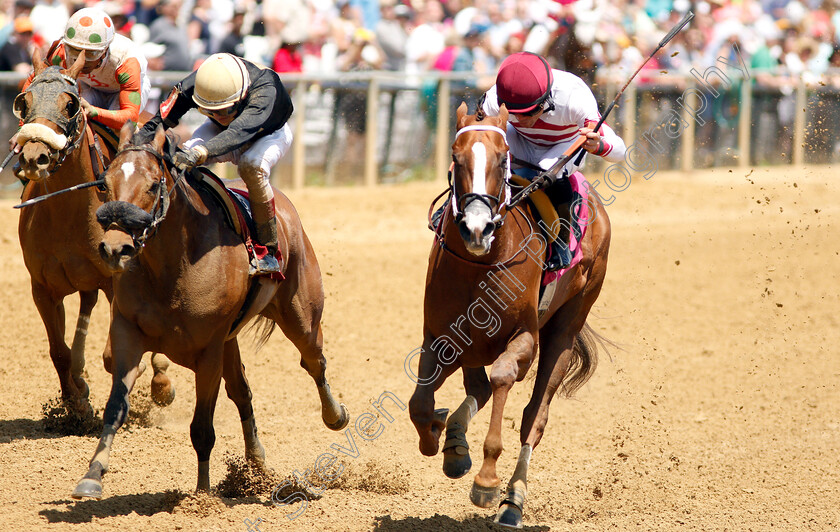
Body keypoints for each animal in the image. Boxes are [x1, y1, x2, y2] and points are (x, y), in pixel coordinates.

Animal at [15, 48, 174, 416]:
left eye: (70, 105)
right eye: (23, 101)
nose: (34, 155)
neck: (66, 214)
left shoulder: (117, 283)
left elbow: (115, 356)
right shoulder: (42, 288)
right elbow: (58, 352)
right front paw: (75, 405)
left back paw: (161, 381)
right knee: (85, 308)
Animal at [71, 124, 348, 498]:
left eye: (153, 185)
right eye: (104, 184)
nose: (116, 249)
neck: (174, 268)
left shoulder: (208, 352)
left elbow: (202, 428)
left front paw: (203, 495)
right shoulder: (129, 333)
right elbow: (116, 407)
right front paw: (92, 475)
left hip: (301, 317)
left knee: (314, 362)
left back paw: (335, 415)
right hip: (231, 341)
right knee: (243, 393)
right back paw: (257, 468)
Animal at [408, 104, 612, 528]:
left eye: (502, 159)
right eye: (455, 157)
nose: (477, 227)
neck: (479, 265)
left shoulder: (525, 340)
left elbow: (502, 378)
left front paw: (487, 481)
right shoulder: (440, 337)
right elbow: (419, 404)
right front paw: (439, 433)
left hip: (567, 326)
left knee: (535, 416)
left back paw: (513, 500)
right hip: (473, 344)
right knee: (478, 389)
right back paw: (455, 444)